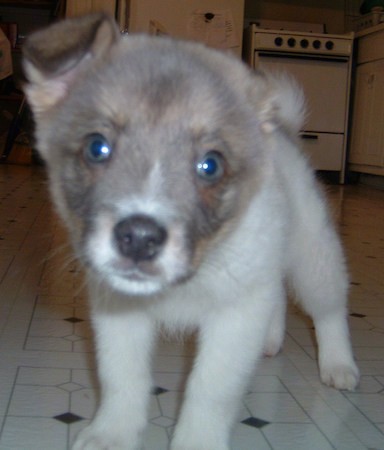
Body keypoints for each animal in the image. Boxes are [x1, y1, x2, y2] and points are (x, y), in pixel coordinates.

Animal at [23, 14, 360, 450]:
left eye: (210, 165)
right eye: (97, 147)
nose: (140, 238)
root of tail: (283, 132)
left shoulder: (234, 316)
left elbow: (210, 391)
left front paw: (197, 440)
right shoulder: (119, 311)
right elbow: (122, 379)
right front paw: (112, 433)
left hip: (312, 256)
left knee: (329, 308)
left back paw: (339, 365)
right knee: (277, 297)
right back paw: (271, 341)